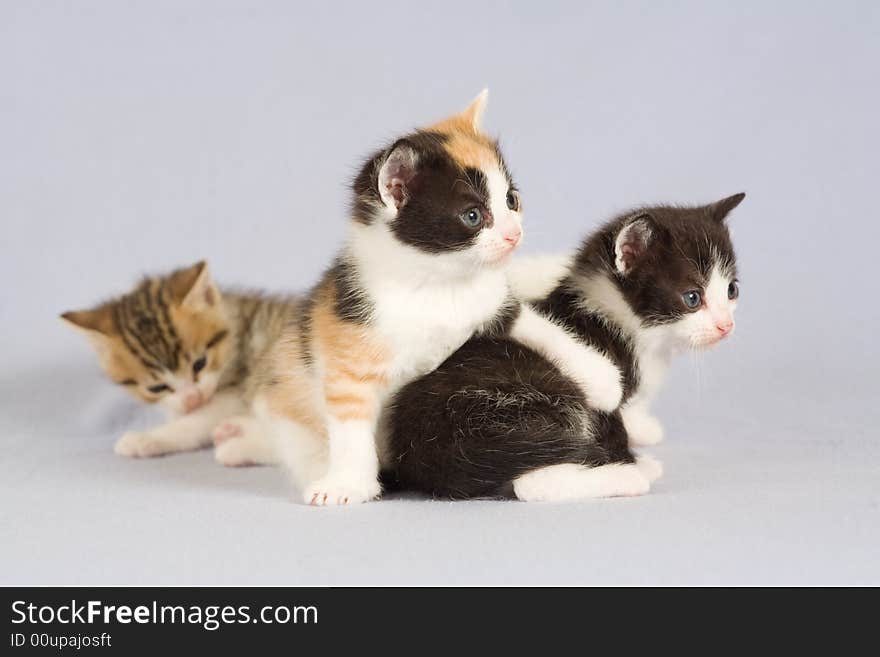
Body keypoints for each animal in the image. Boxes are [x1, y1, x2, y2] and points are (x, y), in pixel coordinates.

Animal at [60, 258, 300, 464]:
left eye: (200, 363)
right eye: (157, 387)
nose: (193, 399)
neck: (236, 337)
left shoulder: (236, 392)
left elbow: (196, 421)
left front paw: (148, 438)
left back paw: (236, 447)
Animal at [382, 192, 744, 500]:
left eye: (732, 291)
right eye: (692, 298)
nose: (726, 326)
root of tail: (424, 450)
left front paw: (642, 427)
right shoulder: (606, 392)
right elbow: (612, 423)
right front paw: (632, 456)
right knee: (531, 482)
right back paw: (629, 477)